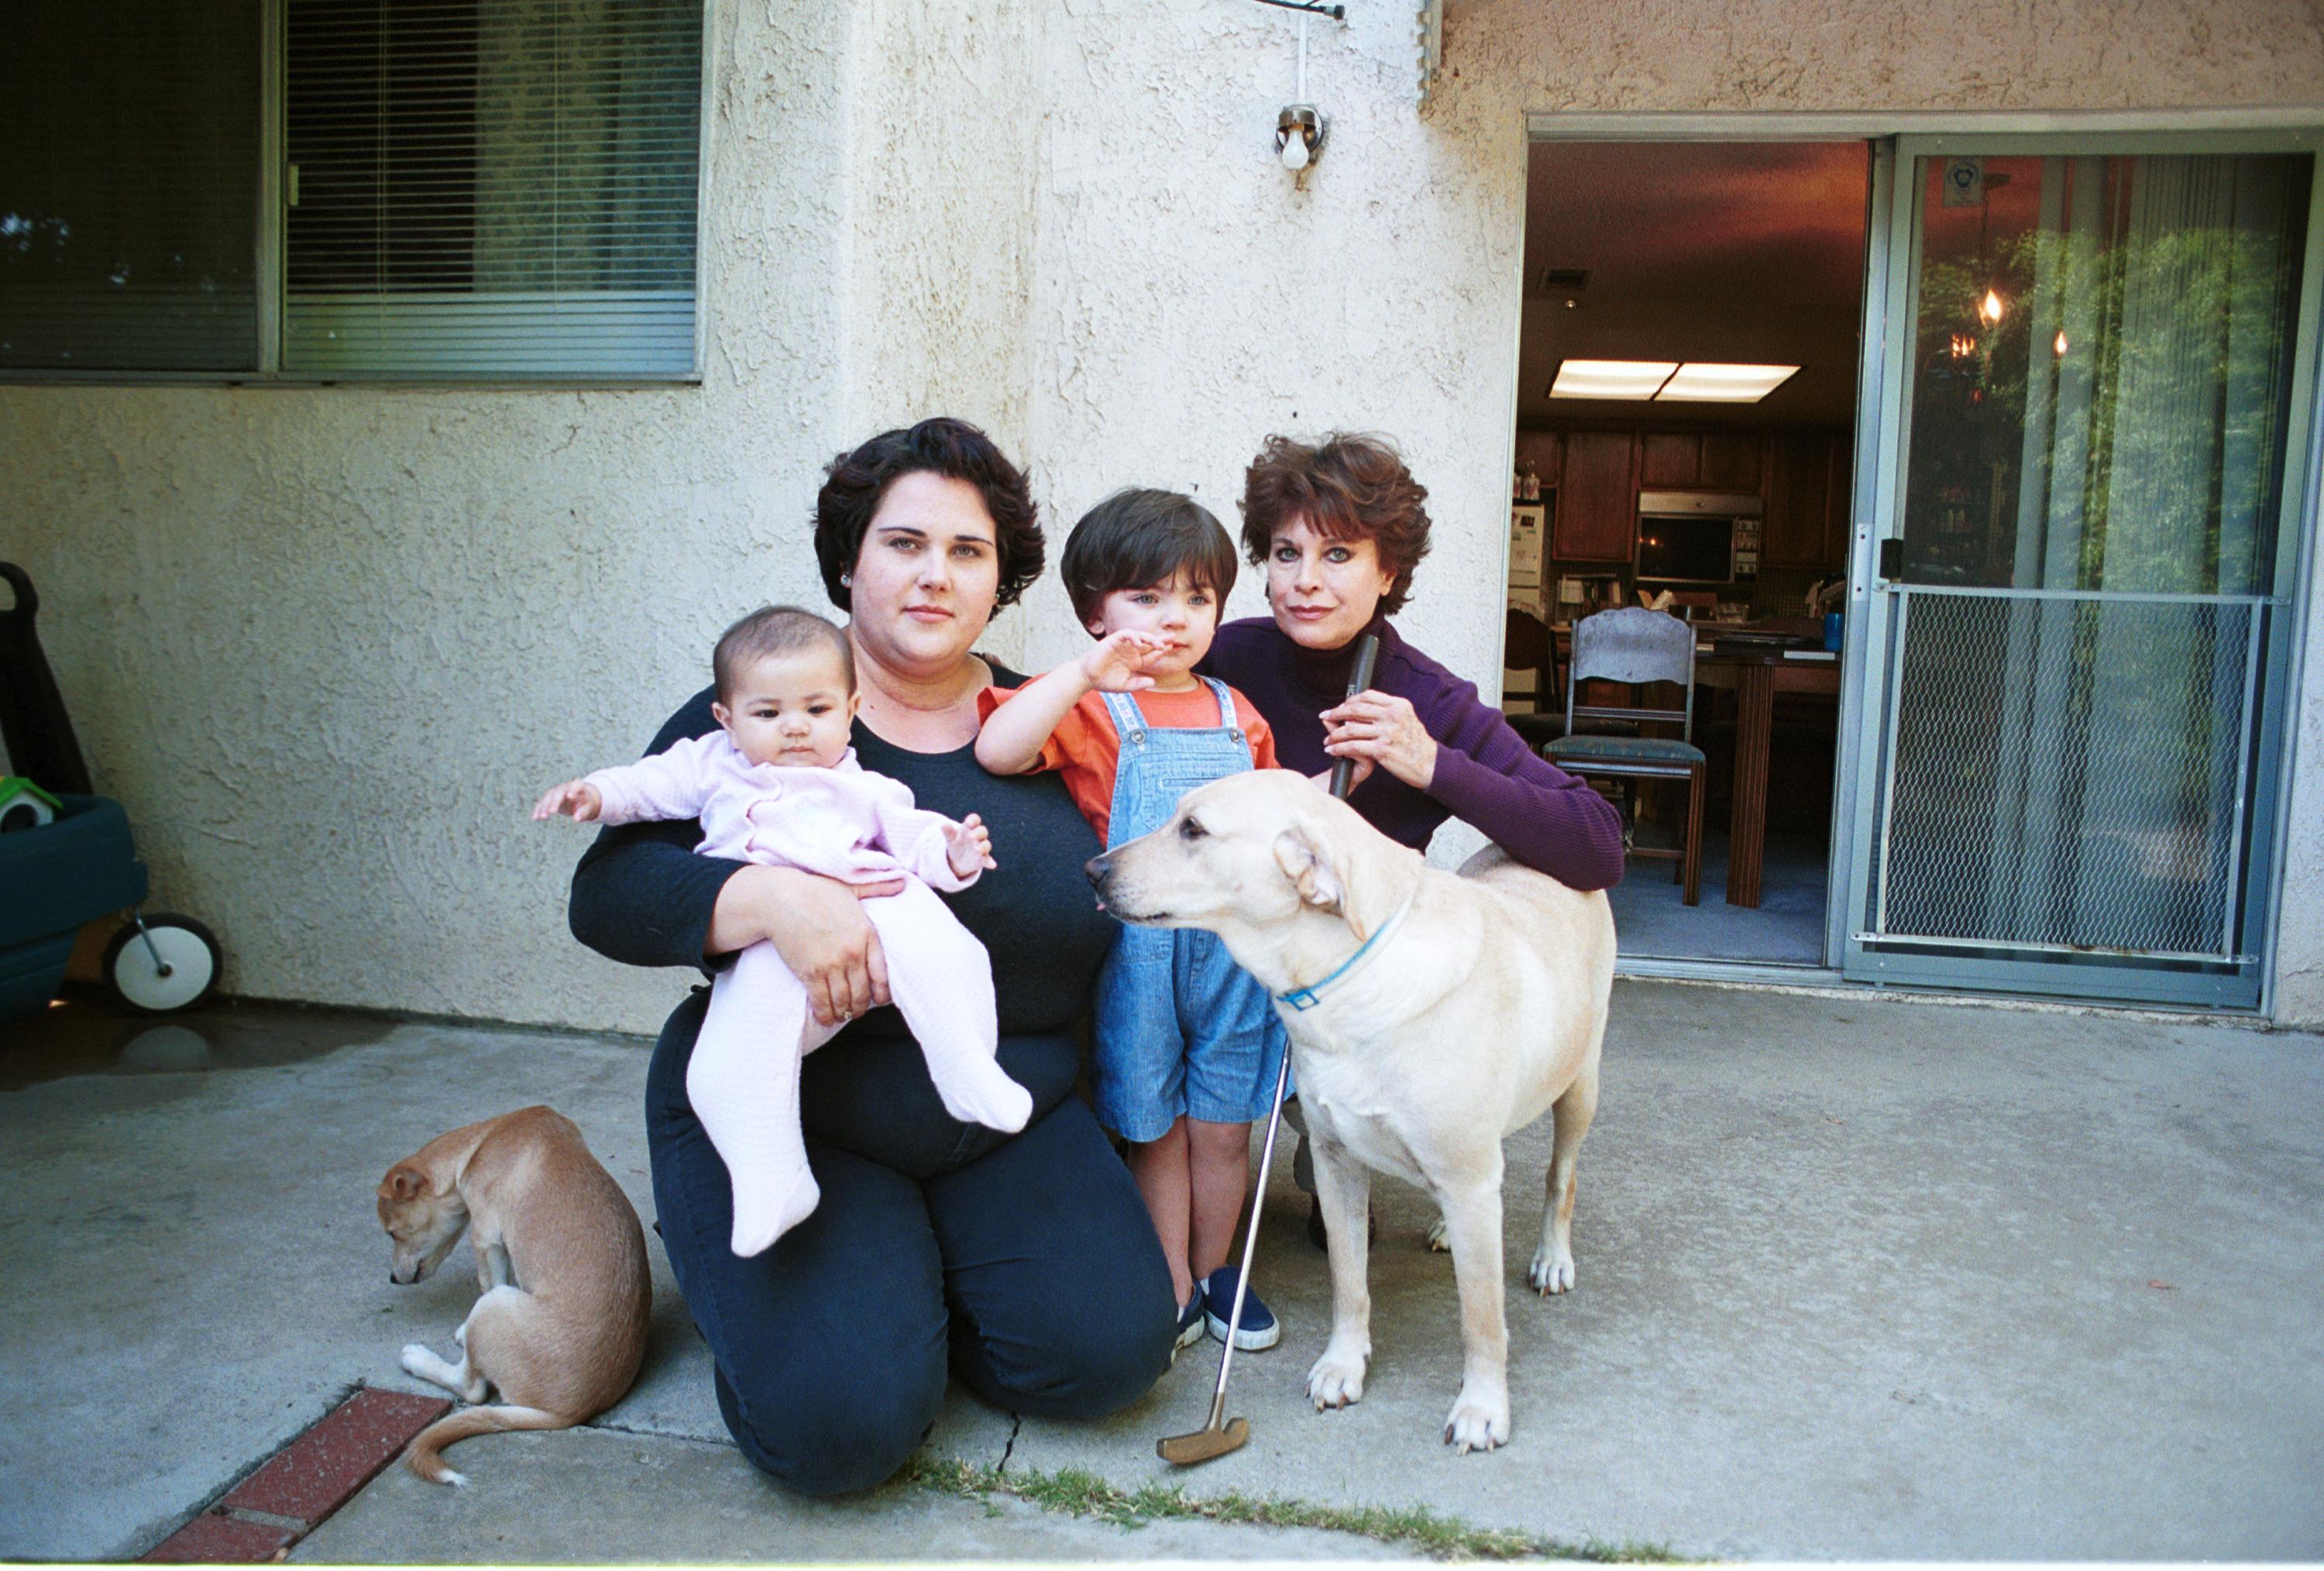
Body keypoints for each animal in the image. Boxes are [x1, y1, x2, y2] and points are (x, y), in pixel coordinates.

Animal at [379, 1106, 655, 1487]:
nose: (393, 1278)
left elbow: (489, 1278)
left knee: (472, 1389)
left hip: (493, 1308)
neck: (482, 1139)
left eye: (392, 1233)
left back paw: (418, 1359)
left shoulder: (486, 1240)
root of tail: (569, 1413)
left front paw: (460, 1332)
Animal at [1088, 772, 1618, 1450]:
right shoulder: (1336, 1162)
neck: (1349, 977)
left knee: (1561, 1178)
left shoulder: (1468, 1177)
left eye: (1193, 829)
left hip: (1579, 1085)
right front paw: (1343, 1366)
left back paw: (1552, 1257)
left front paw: (1483, 1407)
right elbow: (1349, 1283)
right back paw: (1448, 1228)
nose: (1092, 869)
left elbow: (1480, 1317)